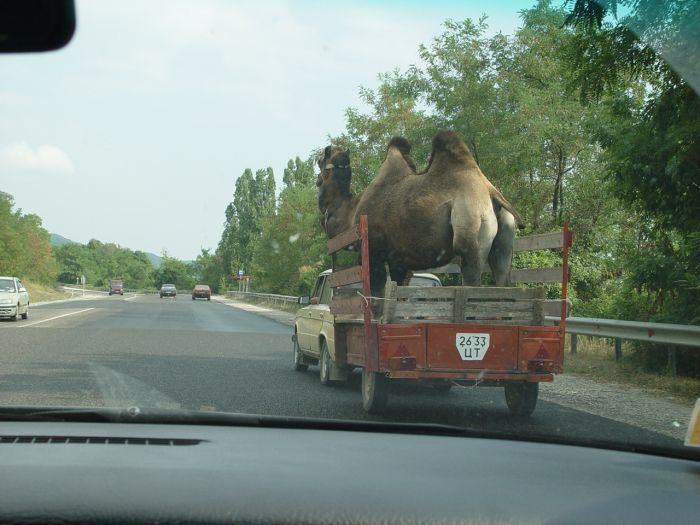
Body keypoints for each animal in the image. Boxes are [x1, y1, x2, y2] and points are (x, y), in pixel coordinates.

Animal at [320, 130, 524, 294]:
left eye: (321, 161)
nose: (317, 180)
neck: (351, 210)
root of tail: (490, 192)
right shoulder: (398, 261)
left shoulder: (374, 253)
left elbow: (377, 297)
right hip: (504, 240)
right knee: (502, 275)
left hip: (470, 227)